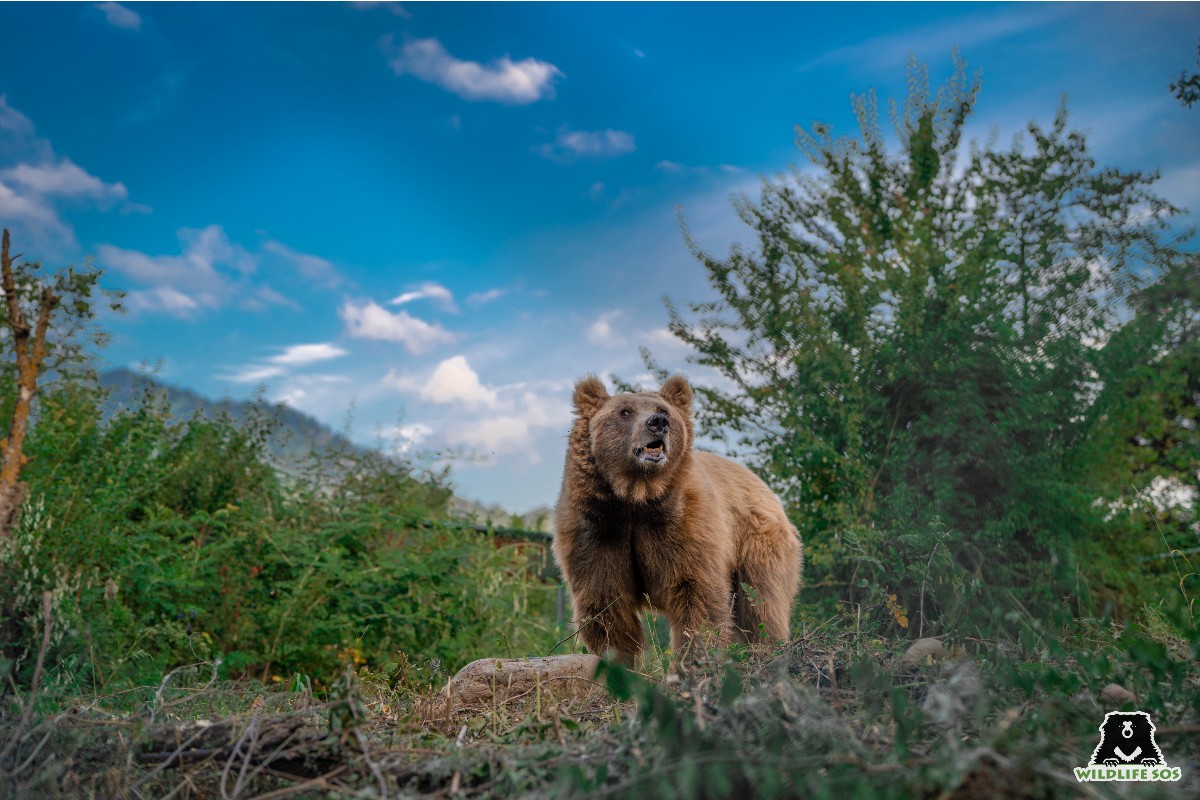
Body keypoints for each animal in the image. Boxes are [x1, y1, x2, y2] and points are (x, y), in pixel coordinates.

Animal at [554, 379, 806, 666]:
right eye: (625, 411)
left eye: (663, 410)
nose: (658, 422)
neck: (637, 497)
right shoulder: (598, 530)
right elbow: (606, 602)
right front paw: (620, 661)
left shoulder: (685, 525)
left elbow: (696, 592)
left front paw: (692, 659)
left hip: (756, 542)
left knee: (761, 602)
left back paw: (769, 649)